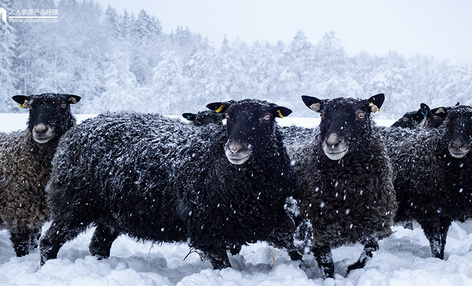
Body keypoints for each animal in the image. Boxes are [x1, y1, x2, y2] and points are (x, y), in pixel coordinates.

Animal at [39, 99, 298, 268]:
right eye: (228, 117)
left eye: (267, 117)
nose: (235, 149)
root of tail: (74, 132)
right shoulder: (206, 229)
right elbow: (223, 265)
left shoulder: (271, 218)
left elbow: (294, 248)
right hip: (74, 205)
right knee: (48, 242)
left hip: (112, 214)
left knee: (98, 245)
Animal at [290, 94, 396, 278]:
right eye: (322, 115)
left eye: (361, 115)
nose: (332, 143)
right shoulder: (319, 226)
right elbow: (327, 265)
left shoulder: (376, 220)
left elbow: (371, 249)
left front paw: (352, 268)